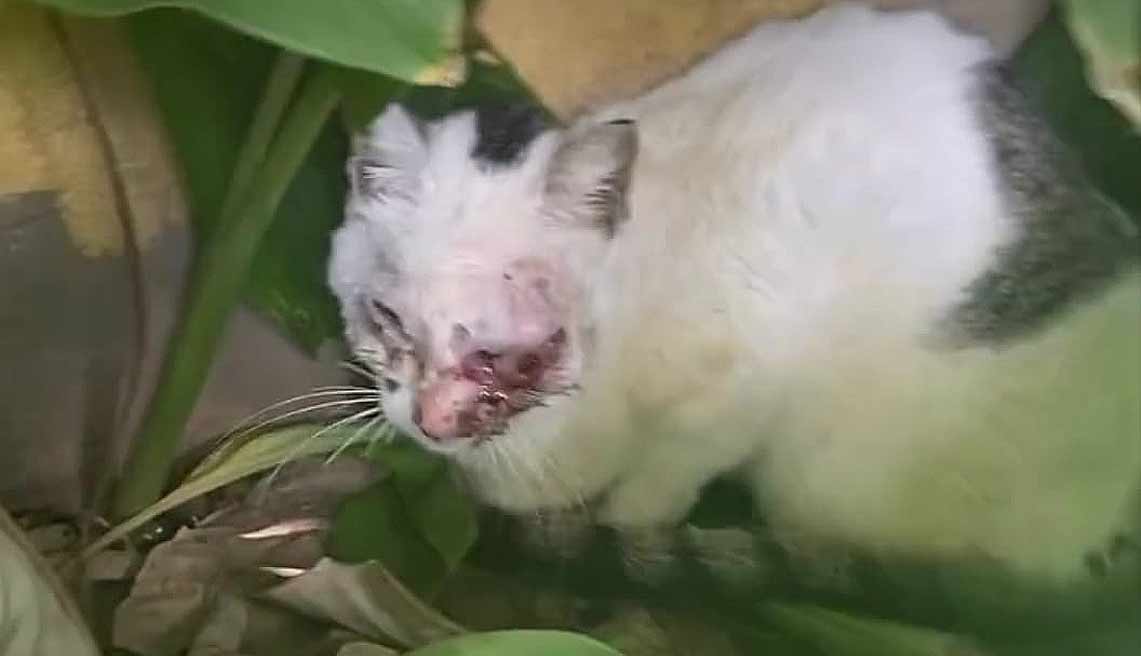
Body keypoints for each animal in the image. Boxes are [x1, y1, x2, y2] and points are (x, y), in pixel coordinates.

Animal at [326, 2, 1136, 588]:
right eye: (388, 316)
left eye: (508, 342)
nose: (430, 420)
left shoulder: (745, 386)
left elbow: (657, 486)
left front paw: (631, 535)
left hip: (836, 470)